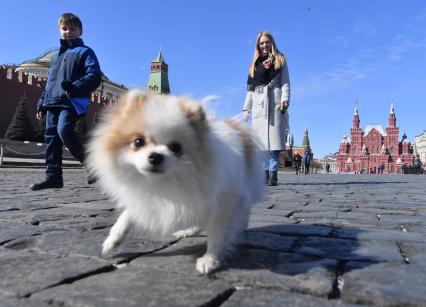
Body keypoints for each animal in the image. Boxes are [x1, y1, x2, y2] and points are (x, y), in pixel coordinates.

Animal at [85, 89, 266, 274]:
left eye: (176, 148)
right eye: (138, 142)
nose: (156, 156)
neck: (164, 182)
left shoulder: (225, 202)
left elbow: (218, 235)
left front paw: (210, 260)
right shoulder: (147, 198)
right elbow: (125, 218)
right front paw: (112, 242)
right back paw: (187, 231)